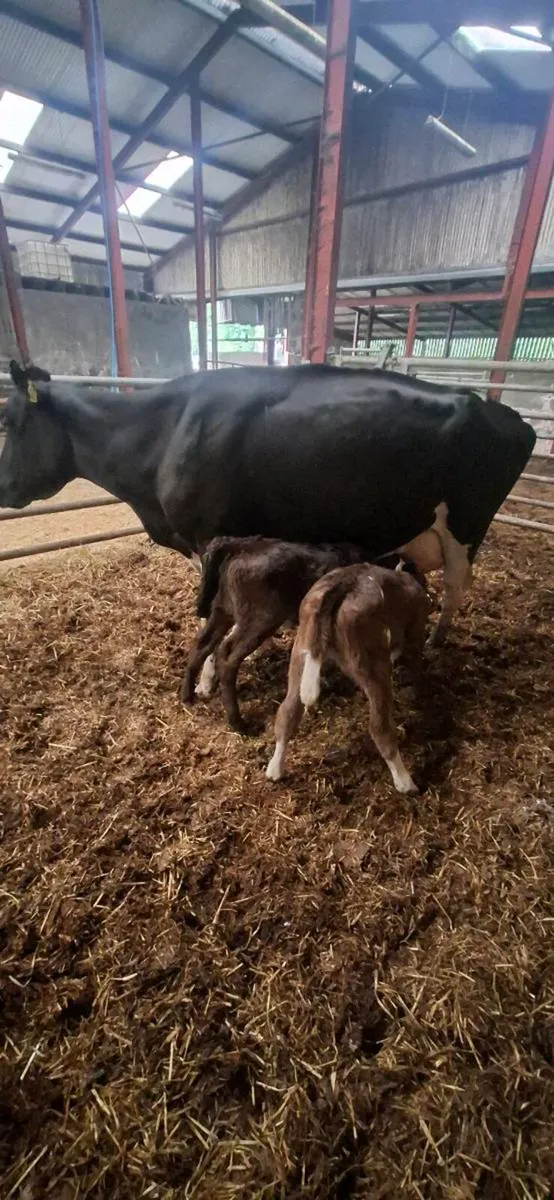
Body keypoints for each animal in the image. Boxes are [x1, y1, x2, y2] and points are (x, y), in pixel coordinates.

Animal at [0, 359, 535, 643]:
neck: (163, 431)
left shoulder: (209, 536)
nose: (4, 488)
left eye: (9, 421)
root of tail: (500, 411)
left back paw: (436, 641)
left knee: (457, 590)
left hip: (465, 528)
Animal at [266, 564, 431, 793]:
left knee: (287, 712)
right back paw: (406, 783)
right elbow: (414, 660)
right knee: (380, 728)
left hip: (300, 654)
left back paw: (274, 770)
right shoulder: (416, 630)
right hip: (372, 664)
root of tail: (343, 584)